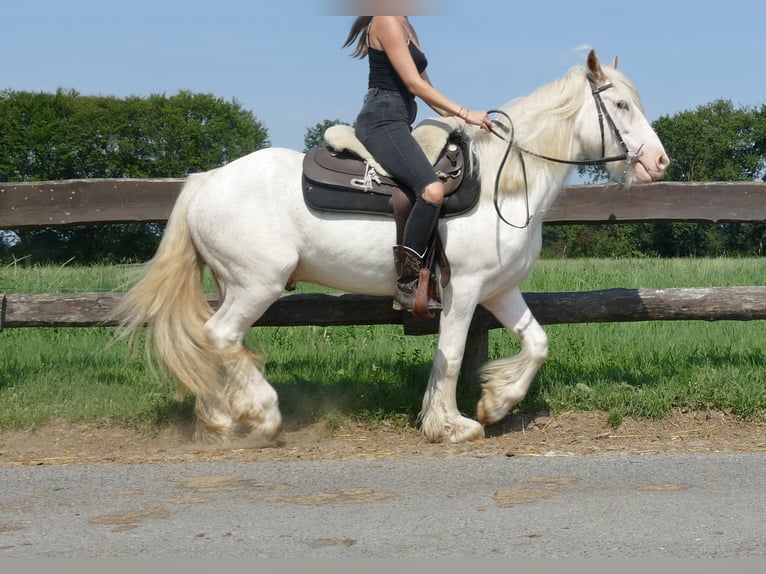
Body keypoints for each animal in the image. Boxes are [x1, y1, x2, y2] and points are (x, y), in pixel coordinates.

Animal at [114, 50, 664, 446]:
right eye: (620, 106)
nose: (658, 162)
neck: (501, 184)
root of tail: (206, 181)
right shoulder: (465, 289)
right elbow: (451, 353)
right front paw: (451, 425)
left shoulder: (500, 289)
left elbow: (537, 344)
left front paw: (495, 403)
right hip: (257, 284)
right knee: (222, 336)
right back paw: (262, 415)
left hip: (236, 284)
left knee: (213, 341)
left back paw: (222, 419)